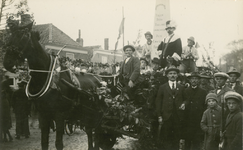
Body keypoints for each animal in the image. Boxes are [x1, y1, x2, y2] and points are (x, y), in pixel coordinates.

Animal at [3, 19, 107, 149]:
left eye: (24, 36)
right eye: (10, 36)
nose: (7, 62)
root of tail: (99, 79)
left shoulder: (59, 116)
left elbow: (58, 144)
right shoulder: (43, 115)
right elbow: (44, 143)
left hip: (96, 115)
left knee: (96, 133)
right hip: (86, 115)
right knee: (89, 132)